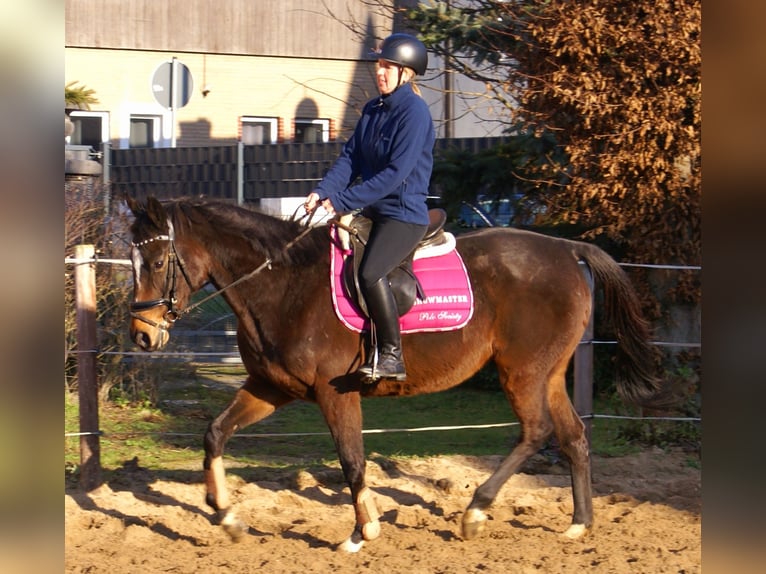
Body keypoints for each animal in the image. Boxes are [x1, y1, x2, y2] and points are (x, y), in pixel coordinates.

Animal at [126, 195, 660, 552]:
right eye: (132, 260)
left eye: (158, 260)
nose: (142, 336)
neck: (283, 285)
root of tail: (566, 249)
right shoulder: (270, 387)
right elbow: (215, 434)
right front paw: (227, 516)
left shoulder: (335, 393)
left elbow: (352, 460)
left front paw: (362, 533)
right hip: (546, 373)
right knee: (572, 436)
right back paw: (579, 523)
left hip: (522, 371)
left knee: (537, 432)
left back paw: (475, 512)